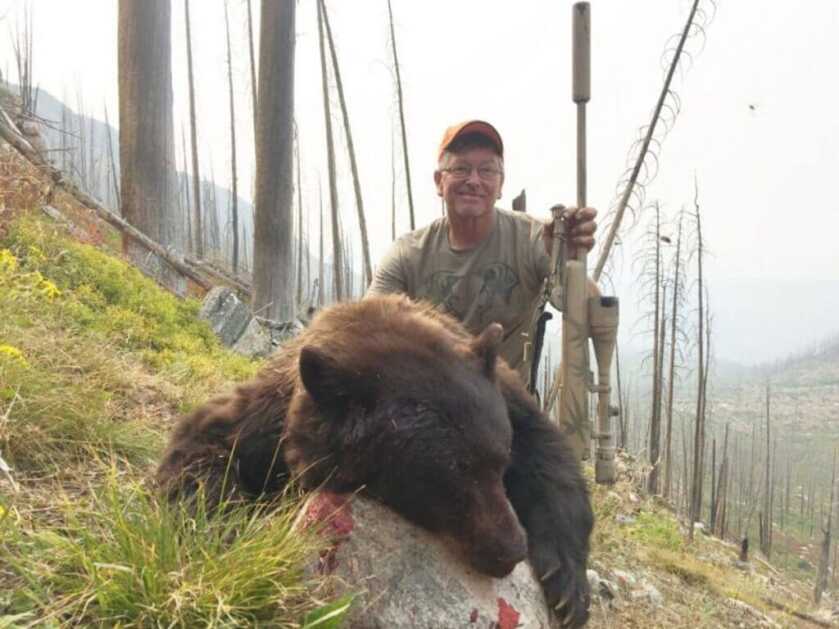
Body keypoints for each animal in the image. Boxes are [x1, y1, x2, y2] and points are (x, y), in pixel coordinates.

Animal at [157, 294, 593, 627]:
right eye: (449, 480)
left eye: (499, 464)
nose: (510, 550)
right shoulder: (267, 416)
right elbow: (204, 443)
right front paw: (225, 535)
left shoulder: (511, 401)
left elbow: (551, 458)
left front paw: (567, 585)